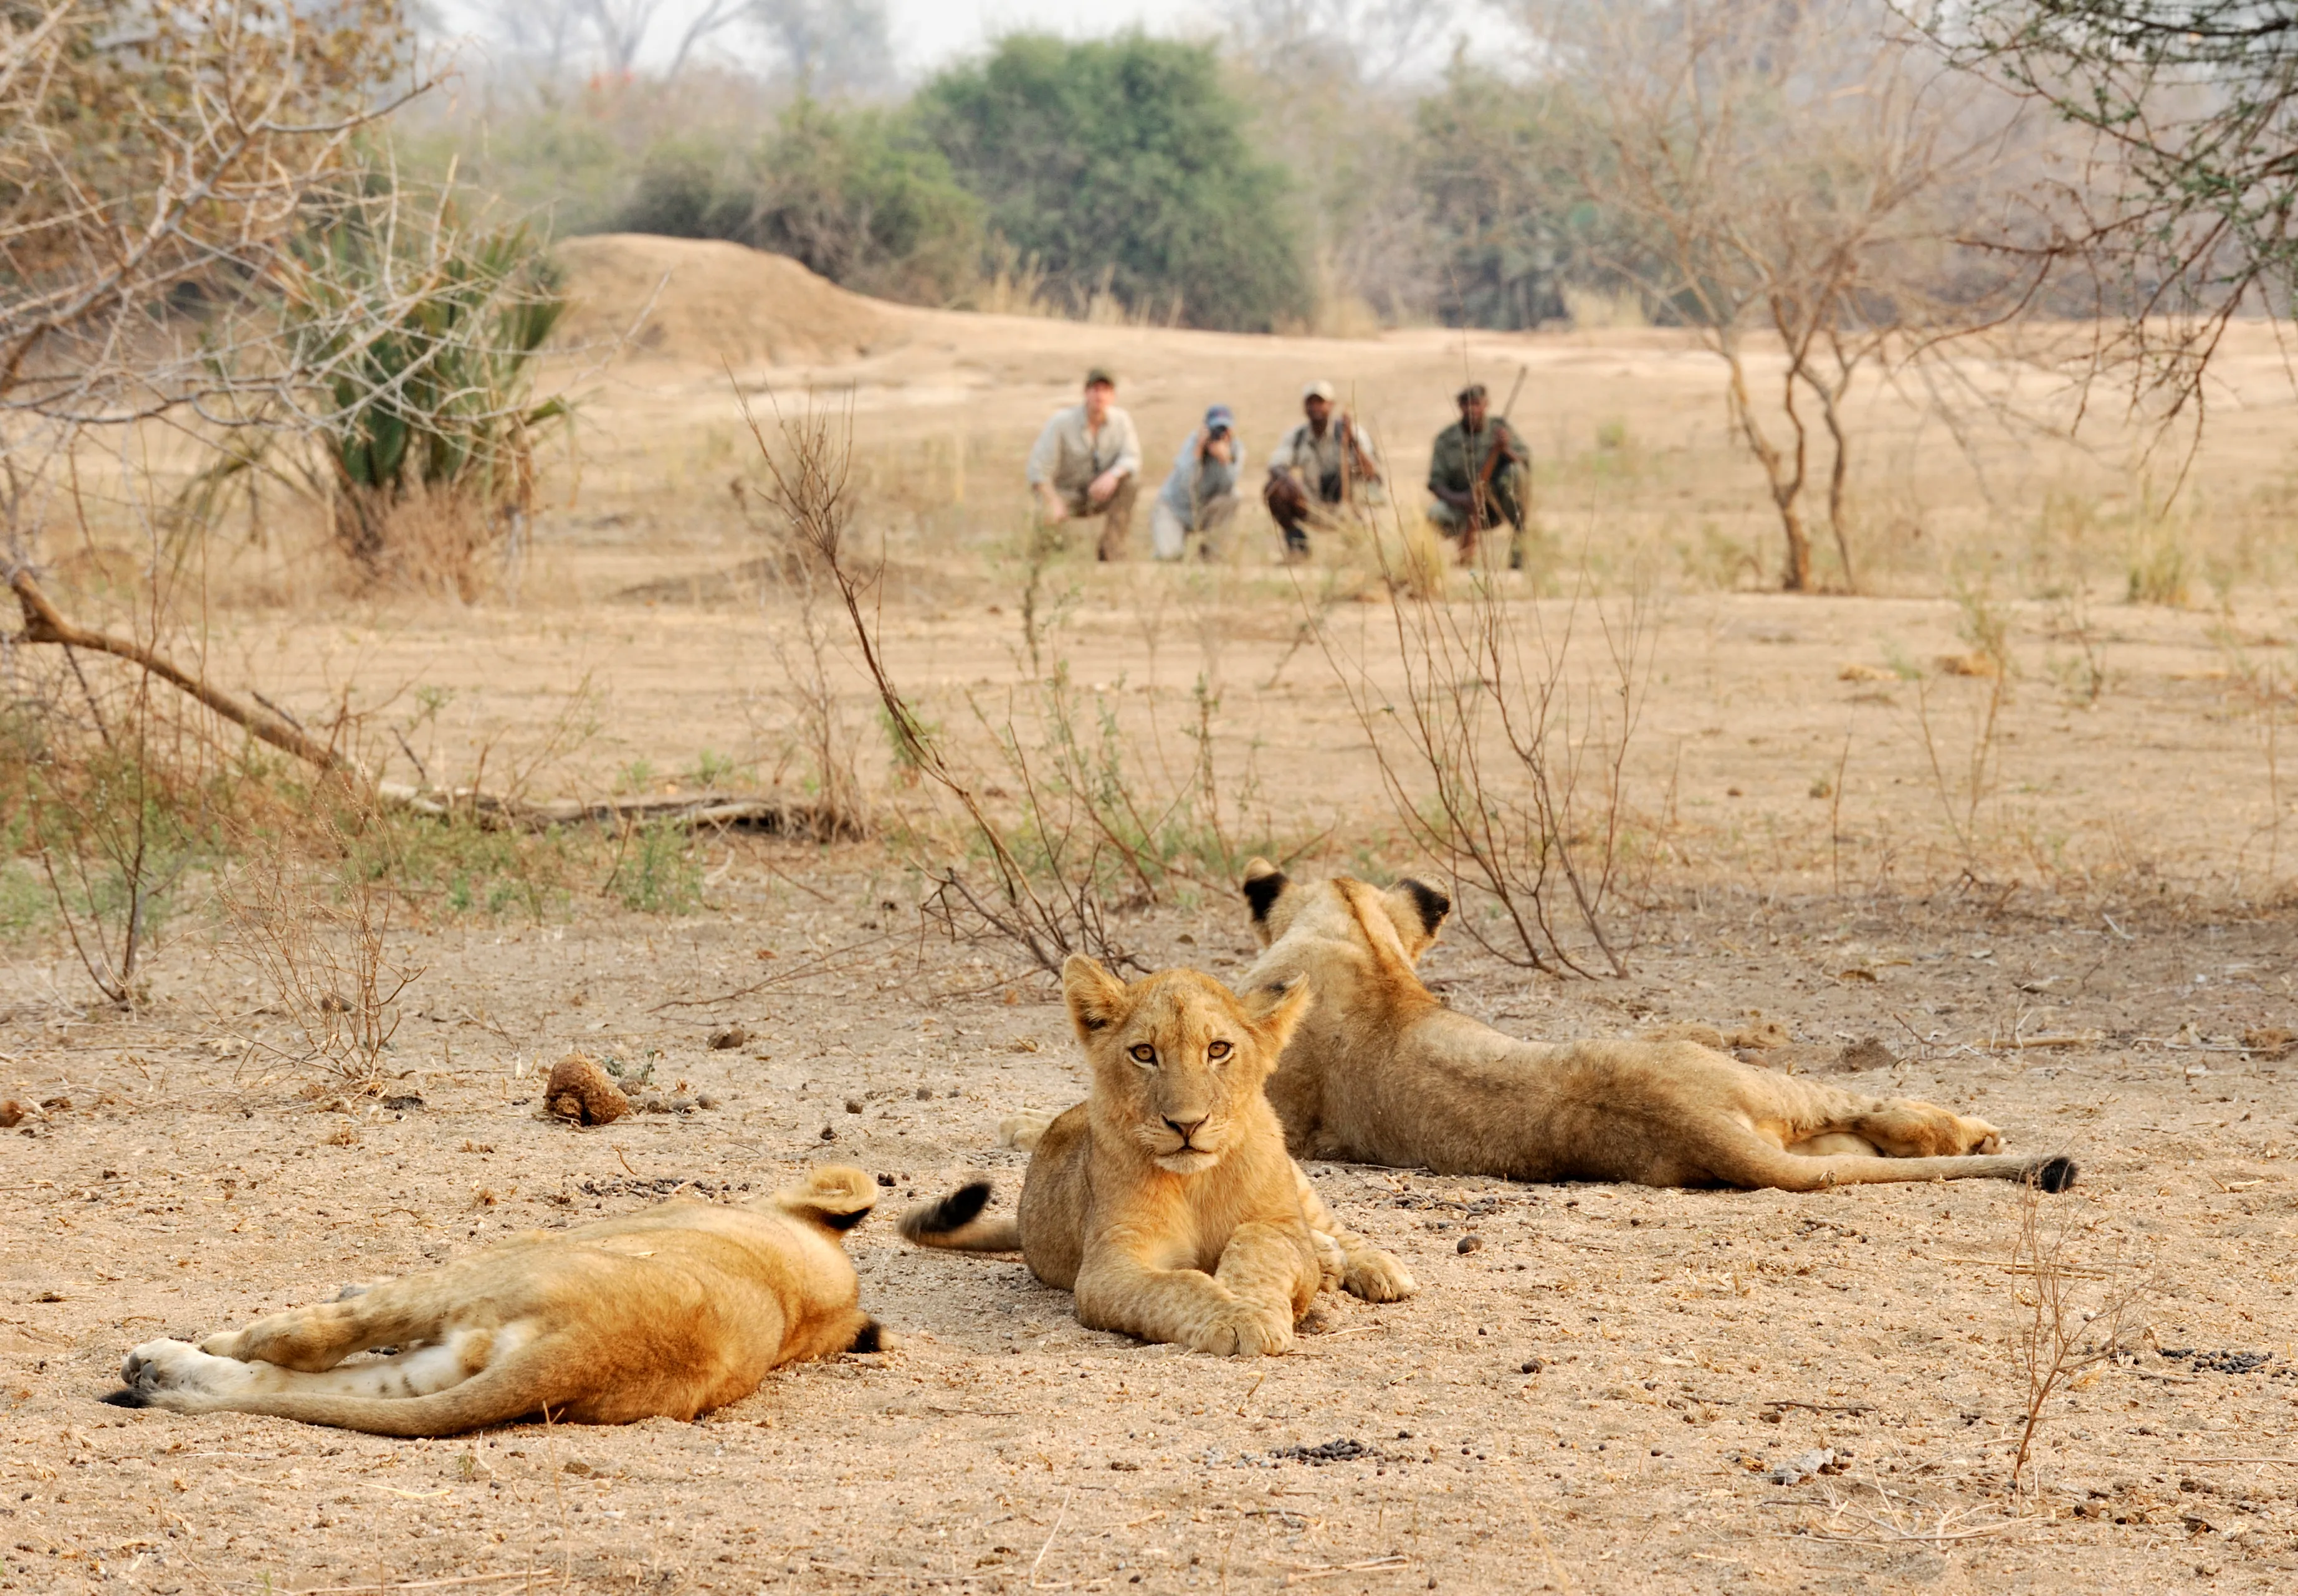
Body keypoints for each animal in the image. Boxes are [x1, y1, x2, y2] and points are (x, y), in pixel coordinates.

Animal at [103, 1165, 884, 1435]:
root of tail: (589, 1352)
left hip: (476, 1275)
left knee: (305, 1341)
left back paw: (178, 1353)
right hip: (448, 1358)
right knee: (293, 1385)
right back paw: (157, 1372)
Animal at [900, 956, 1415, 1356]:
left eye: (1218, 1049)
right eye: (1145, 1053)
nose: (1186, 1125)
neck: (1196, 1181)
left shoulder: (1281, 1225)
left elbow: (1259, 1243)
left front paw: (1259, 1305)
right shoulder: (1111, 1264)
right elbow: (1178, 1285)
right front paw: (1238, 1315)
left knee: (1333, 1227)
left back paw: (1373, 1266)